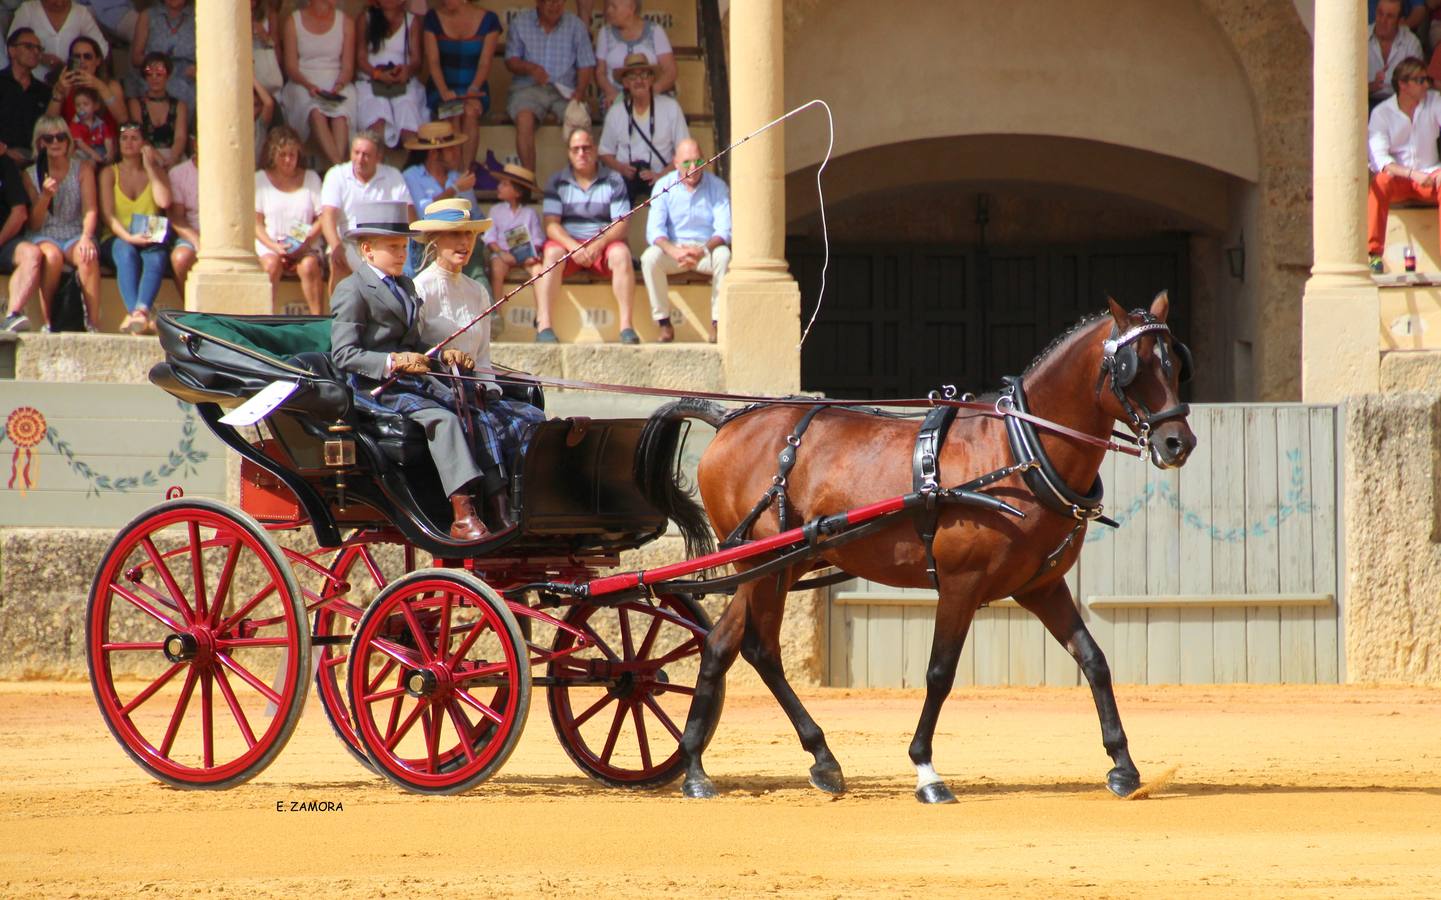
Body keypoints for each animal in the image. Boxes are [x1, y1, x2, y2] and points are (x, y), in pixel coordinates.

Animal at [639, 293, 1193, 800]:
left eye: (1174, 361)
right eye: (1132, 367)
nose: (1178, 443)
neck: (1018, 453)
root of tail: (729, 418)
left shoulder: (1042, 586)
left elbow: (1094, 660)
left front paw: (1123, 766)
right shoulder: (961, 584)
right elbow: (940, 673)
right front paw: (926, 770)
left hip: (784, 563)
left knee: (723, 644)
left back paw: (714, 765)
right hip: (764, 562)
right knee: (760, 647)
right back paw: (782, 758)